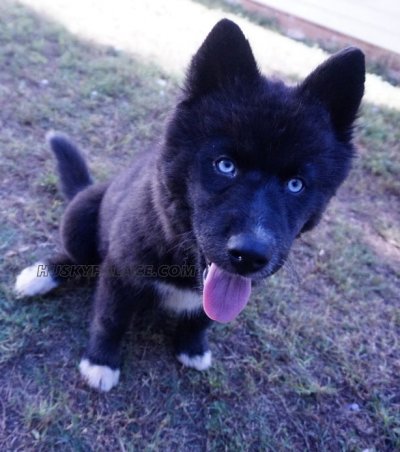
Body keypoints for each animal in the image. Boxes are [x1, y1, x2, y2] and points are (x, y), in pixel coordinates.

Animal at [15, 19, 366, 390]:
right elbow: (110, 318)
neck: (179, 252)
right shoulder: (120, 271)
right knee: (75, 258)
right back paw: (40, 277)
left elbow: (202, 317)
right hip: (80, 216)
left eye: (296, 184)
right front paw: (101, 362)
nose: (250, 255)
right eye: (225, 165)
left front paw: (192, 347)